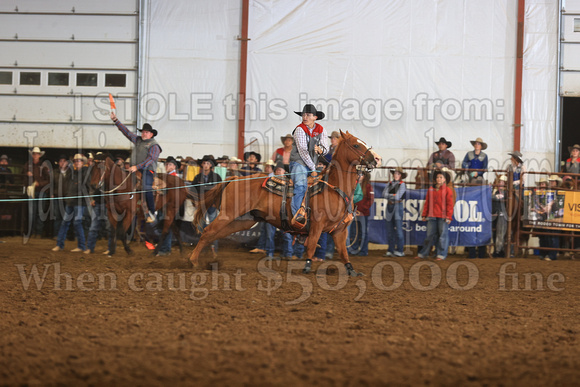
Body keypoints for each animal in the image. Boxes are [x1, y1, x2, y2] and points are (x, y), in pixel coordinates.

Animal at [188, 132, 382, 278]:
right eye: (356, 145)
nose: (377, 158)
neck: (334, 188)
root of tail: (235, 178)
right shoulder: (317, 226)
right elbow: (311, 246)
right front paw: (307, 267)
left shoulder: (339, 231)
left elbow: (343, 252)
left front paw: (352, 271)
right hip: (228, 214)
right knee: (208, 232)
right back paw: (193, 262)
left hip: (243, 220)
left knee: (215, 235)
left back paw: (208, 261)